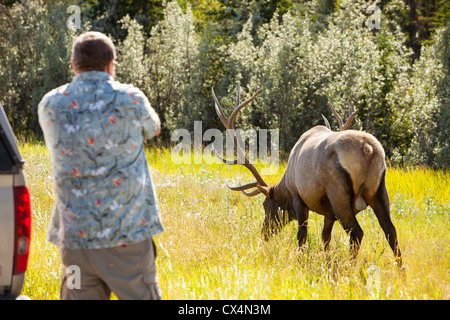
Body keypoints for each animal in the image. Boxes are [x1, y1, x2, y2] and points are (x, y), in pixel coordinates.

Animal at [213, 84, 402, 262]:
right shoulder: (329, 213)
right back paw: (401, 271)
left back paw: (350, 267)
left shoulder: (299, 196)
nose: (264, 234)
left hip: (339, 194)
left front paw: (301, 259)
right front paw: (324, 260)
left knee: (357, 233)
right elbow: (325, 238)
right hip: (378, 190)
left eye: (266, 205)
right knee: (391, 231)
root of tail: (368, 149)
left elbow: (302, 235)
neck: (286, 184)